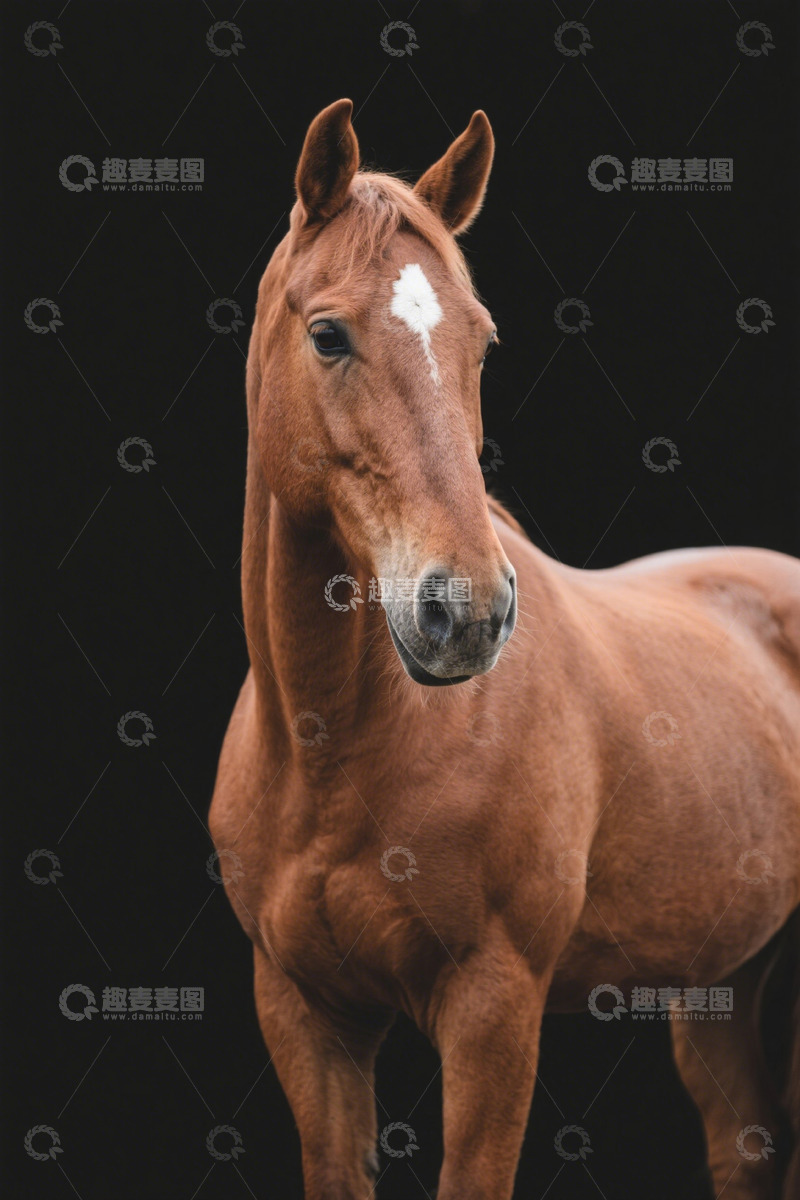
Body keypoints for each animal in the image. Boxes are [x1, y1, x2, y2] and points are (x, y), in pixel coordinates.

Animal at [209, 99, 800, 1199]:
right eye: (326, 335)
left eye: (480, 342)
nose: (469, 613)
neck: (335, 747)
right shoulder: (305, 1016)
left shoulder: (494, 1008)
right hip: (723, 981)